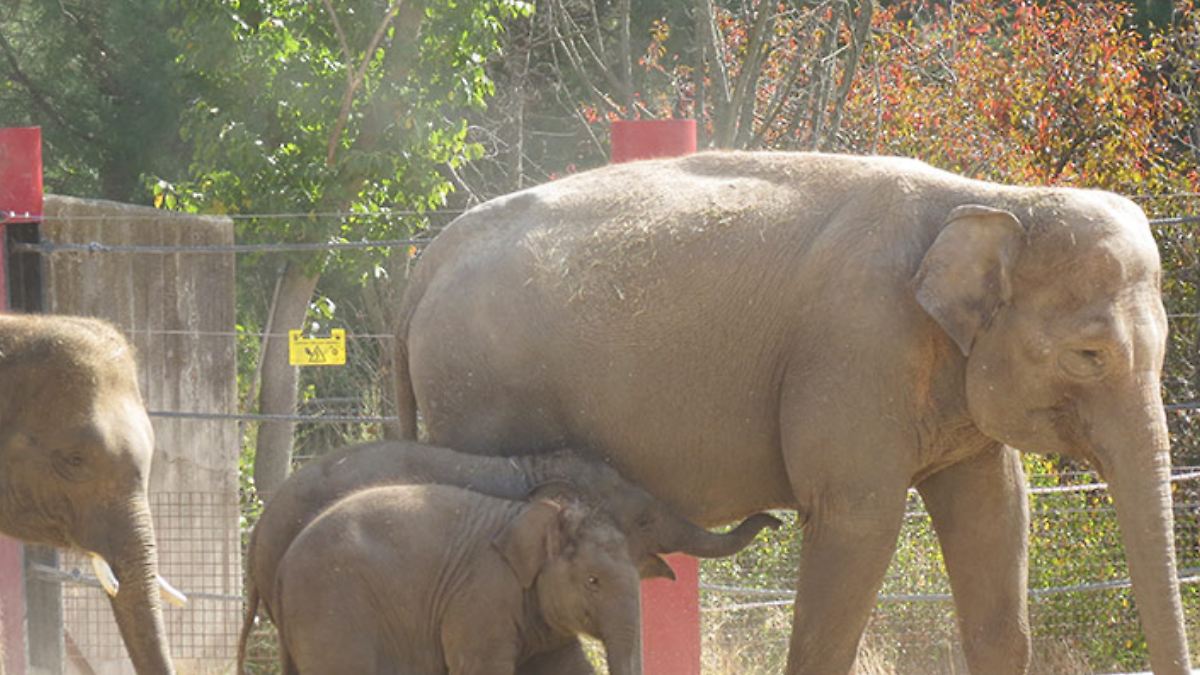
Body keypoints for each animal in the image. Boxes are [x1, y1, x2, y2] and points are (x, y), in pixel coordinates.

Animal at [273, 483, 645, 675]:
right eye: (593, 581)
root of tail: (281, 565)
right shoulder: (481, 595)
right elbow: (480, 666)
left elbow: (565, 667)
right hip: (332, 609)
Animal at [393, 151, 1192, 674]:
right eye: (1089, 355)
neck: (993, 196)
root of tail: (428, 259)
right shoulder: (855, 350)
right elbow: (858, 523)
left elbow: (996, 512)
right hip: (480, 397)